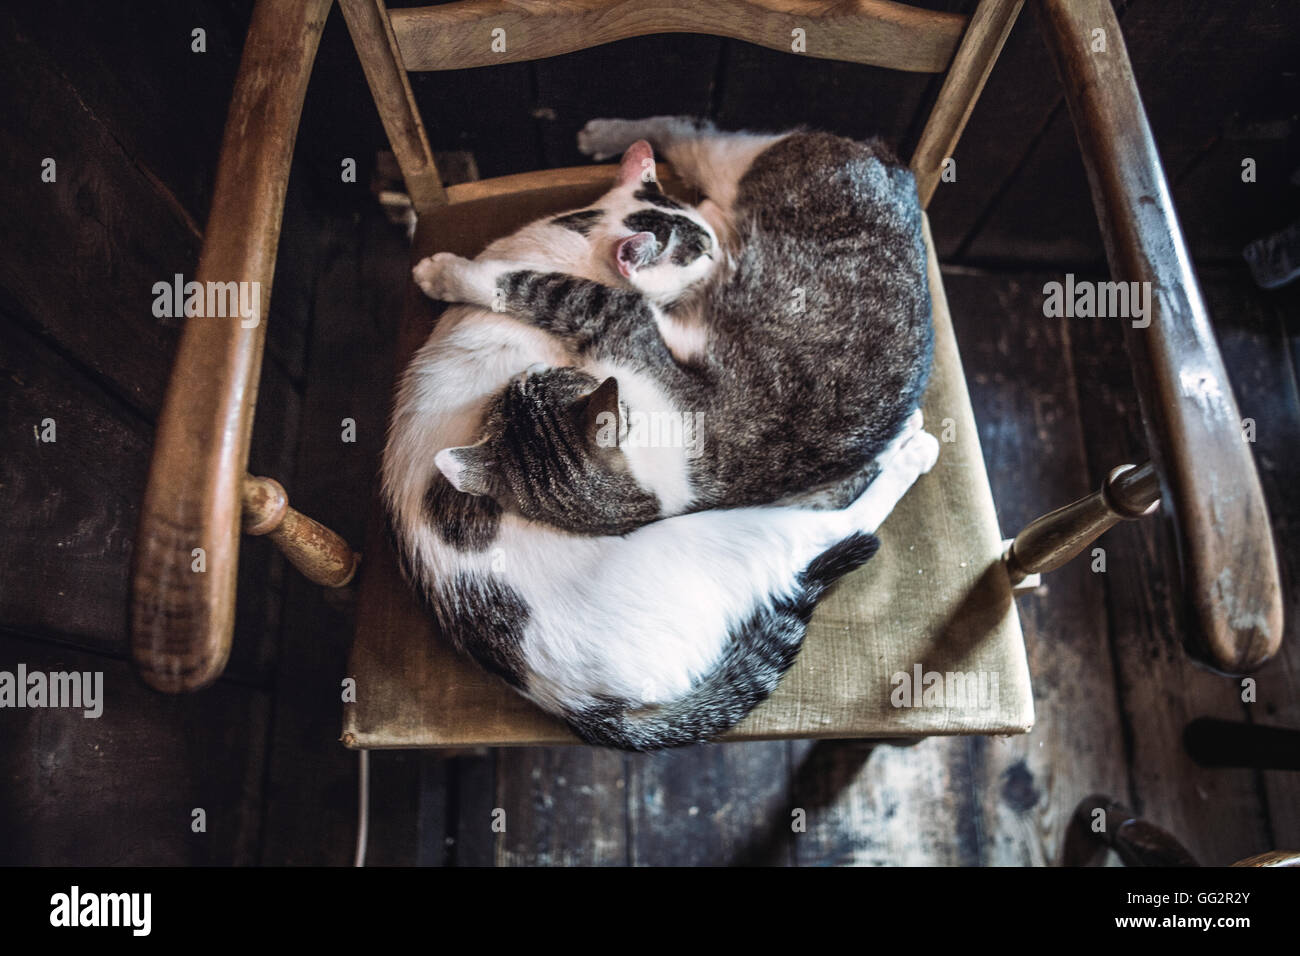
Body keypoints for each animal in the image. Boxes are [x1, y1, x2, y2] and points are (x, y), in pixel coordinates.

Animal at [382, 117, 935, 754]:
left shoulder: (618, 318)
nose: (725, 253)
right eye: (698, 253)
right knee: (696, 132)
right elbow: (518, 282)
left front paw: (443, 271)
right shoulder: (617, 315)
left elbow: (519, 283)